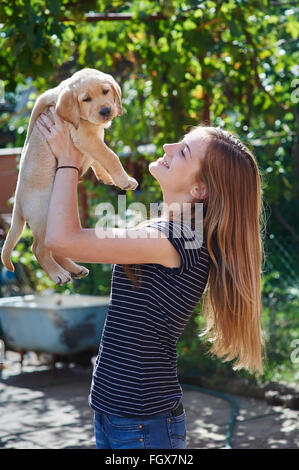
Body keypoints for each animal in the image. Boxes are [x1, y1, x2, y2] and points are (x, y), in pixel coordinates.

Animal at [0, 68, 139, 284]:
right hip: (45, 216)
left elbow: (97, 159)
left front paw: (105, 176)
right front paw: (124, 180)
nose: (106, 111)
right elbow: (111, 156)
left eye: (106, 91)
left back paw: (74, 269)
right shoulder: (88, 139)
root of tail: (19, 205)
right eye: (86, 99)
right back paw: (57, 274)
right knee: (39, 249)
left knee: (56, 248)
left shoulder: (90, 142)